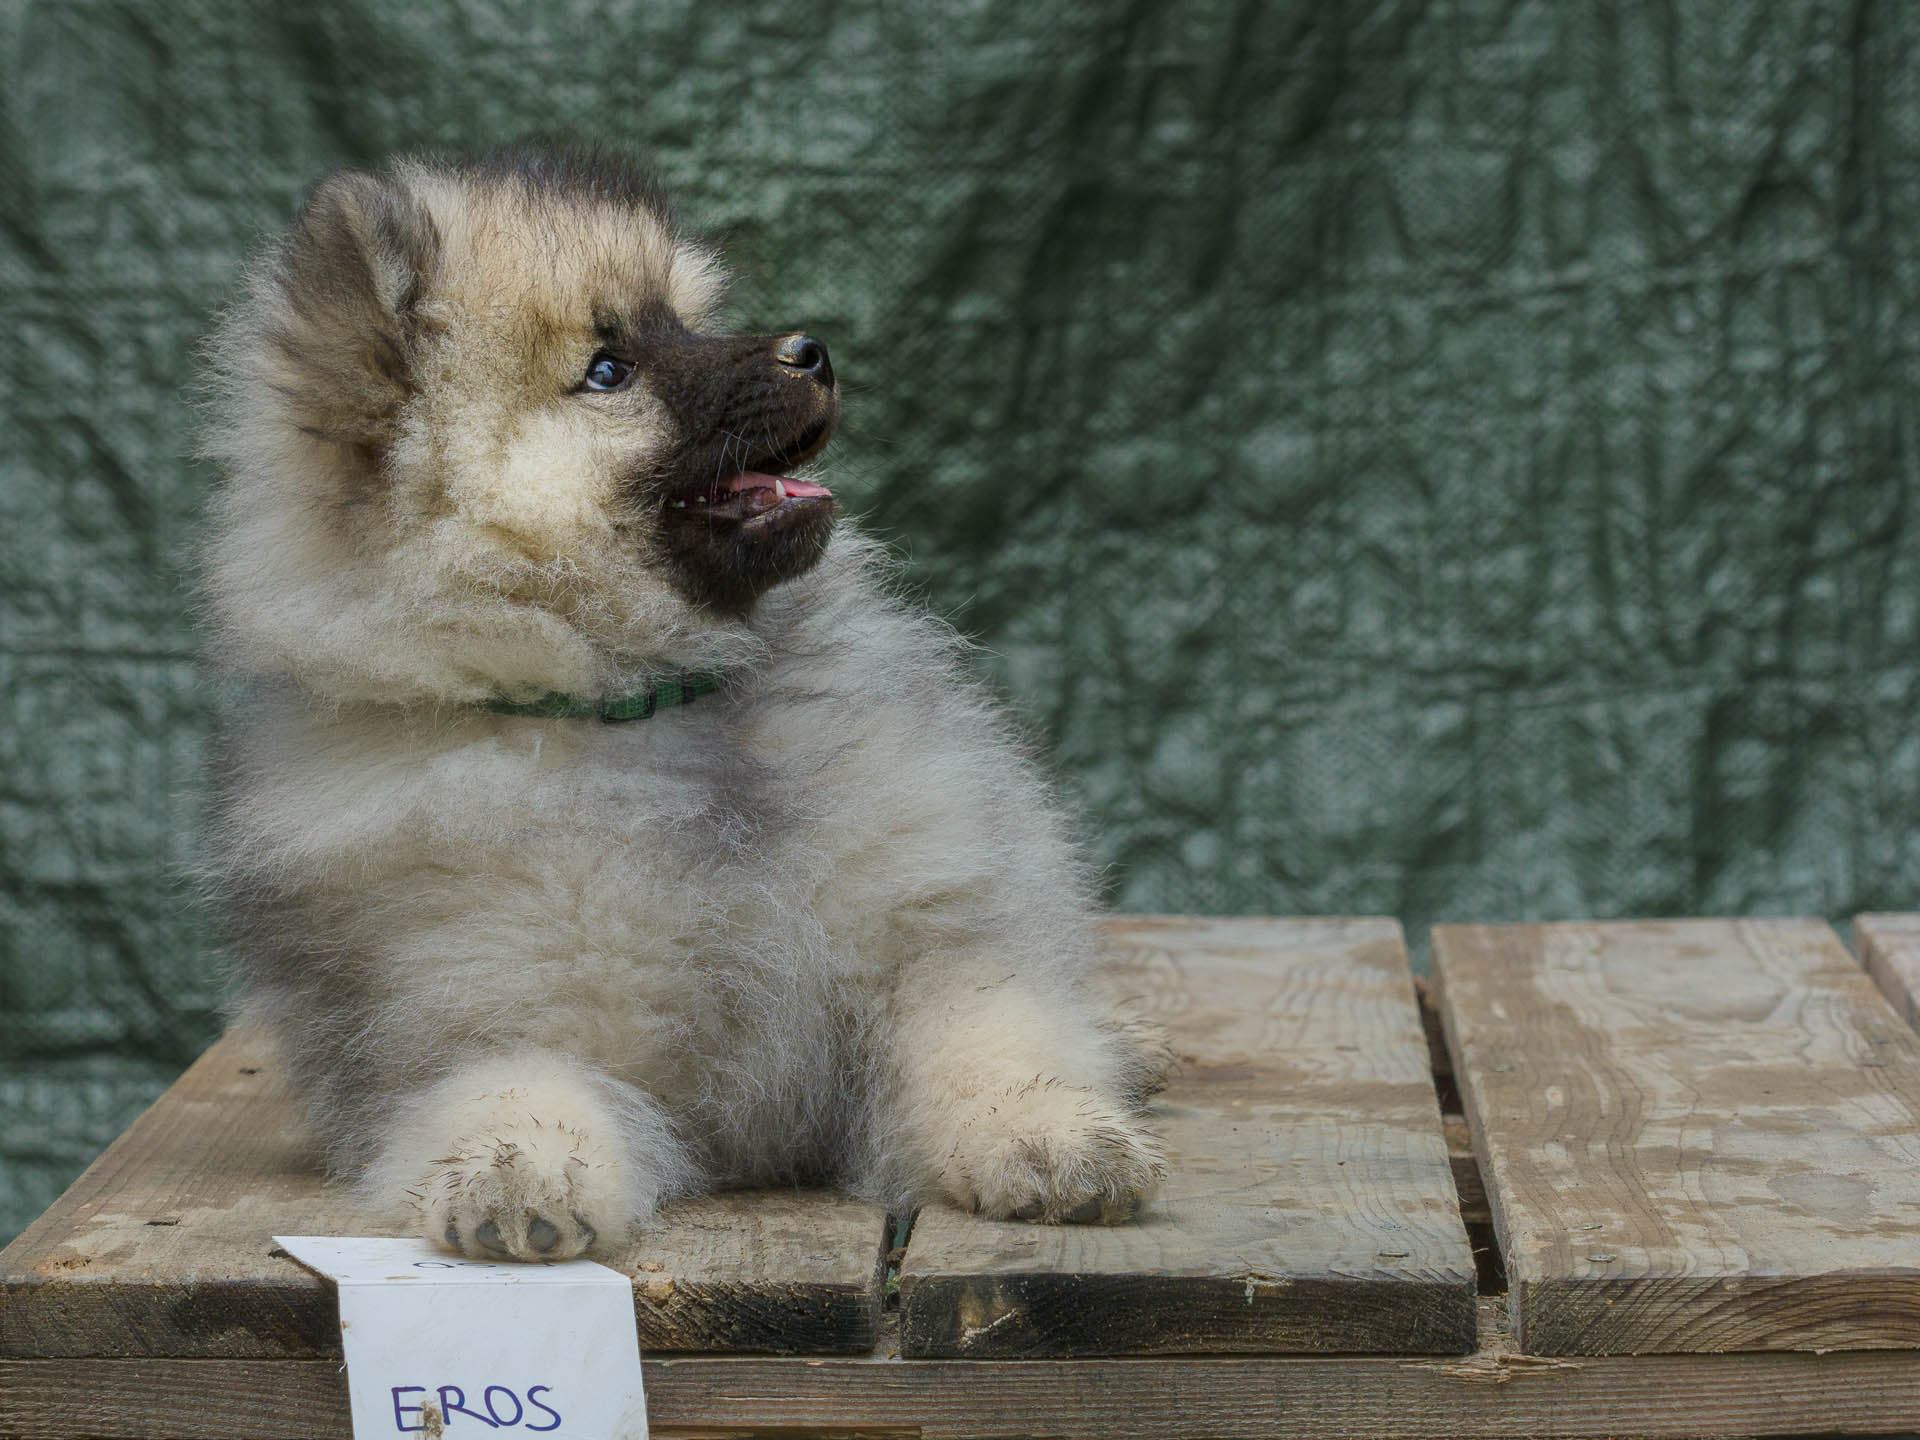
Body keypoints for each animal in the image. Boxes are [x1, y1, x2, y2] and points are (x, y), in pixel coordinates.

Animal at [206, 149, 1167, 1259]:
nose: (812, 350)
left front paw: (1058, 1135)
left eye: (684, 320)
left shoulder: (930, 952)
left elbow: (992, 1044)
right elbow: (516, 1090)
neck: (653, 700)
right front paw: (517, 1177)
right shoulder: (482, 1017)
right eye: (607, 369)